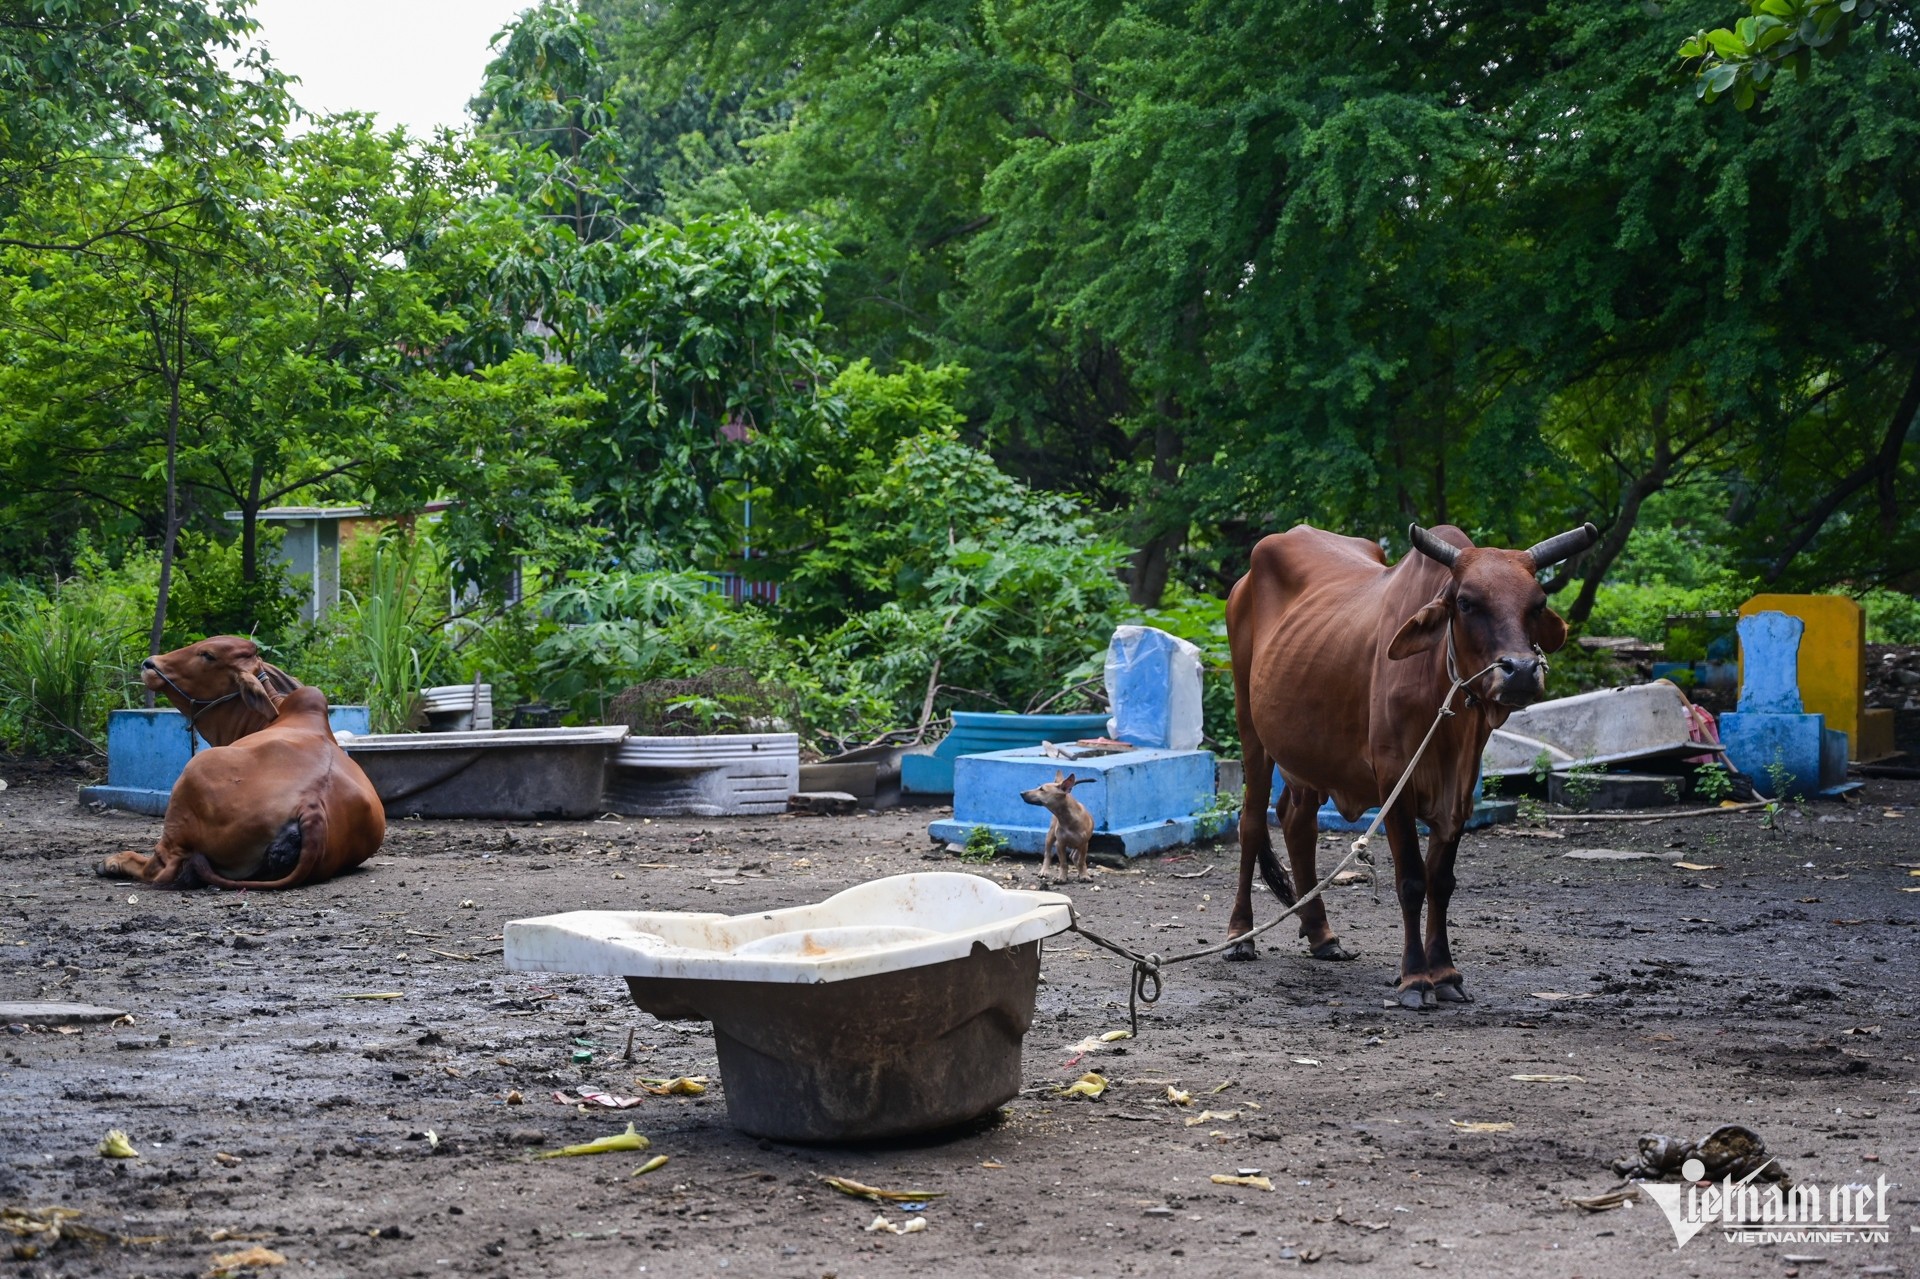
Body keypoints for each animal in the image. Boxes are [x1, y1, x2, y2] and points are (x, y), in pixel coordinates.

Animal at [99, 637, 387, 887]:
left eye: (208, 655)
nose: (150, 664)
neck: (274, 715)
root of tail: (312, 806)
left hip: (189, 783)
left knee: (162, 868)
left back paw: (115, 861)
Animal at [1221, 518, 1597, 1006]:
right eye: (1466, 602)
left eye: (1538, 603)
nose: (1520, 670)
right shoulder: (1394, 783)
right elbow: (1413, 881)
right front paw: (1416, 978)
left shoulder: (1458, 794)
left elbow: (1442, 882)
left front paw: (1446, 973)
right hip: (1250, 728)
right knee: (1250, 823)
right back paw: (1240, 935)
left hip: (1307, 752)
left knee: (1296, 823)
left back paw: (1322, 934)